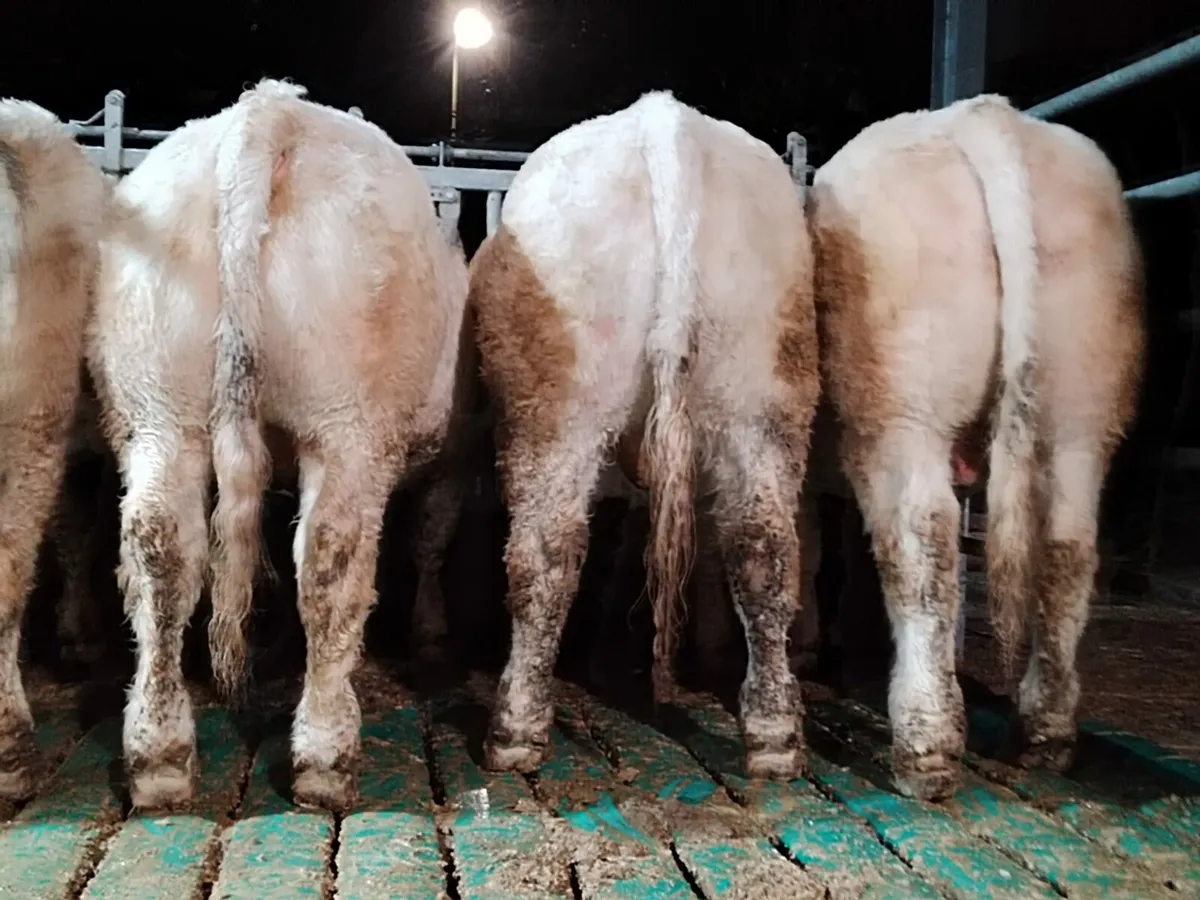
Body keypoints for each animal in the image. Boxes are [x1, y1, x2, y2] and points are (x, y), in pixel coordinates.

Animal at [86, 78, 471, 813]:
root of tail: (269, 113)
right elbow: (433, 536)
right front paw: (433, 637)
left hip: (159, 406)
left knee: (160, 546)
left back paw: (159, 757)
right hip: (346, 423)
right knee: (331, 558)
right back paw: (325, 755)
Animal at [469, 90, 820, 780]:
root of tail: (663, 122)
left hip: (556, 402)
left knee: (544, 551)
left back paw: (514, 730)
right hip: (765, 389)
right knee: (761, 547)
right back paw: (773, 736)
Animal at [809, 94, 1145, 801]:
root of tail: (977, 114)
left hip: (902, 409)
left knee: (922, 543)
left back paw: (925, 746)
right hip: (1084, 410)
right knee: (1069, 549)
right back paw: (1043, 735)